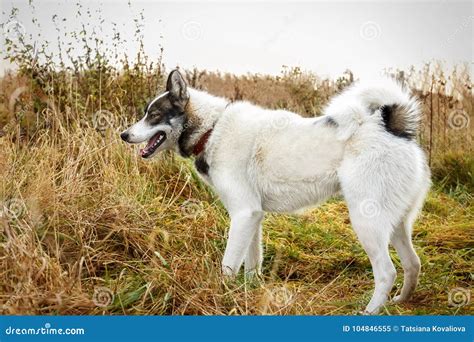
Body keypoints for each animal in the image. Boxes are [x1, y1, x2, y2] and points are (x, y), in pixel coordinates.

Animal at [120, 70, 432, 316]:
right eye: (145, 113)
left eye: (154, 115)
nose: (124, 135)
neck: (212, 129)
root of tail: (391, 126)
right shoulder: (253, 218)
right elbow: (251, 265)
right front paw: (250, 293)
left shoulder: (244, 215)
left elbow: (228, 266)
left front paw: (221, 294)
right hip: (396, 225)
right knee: (413, 264)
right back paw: (400, 302)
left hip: (367, 223)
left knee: (387, 272)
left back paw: (369, 312)